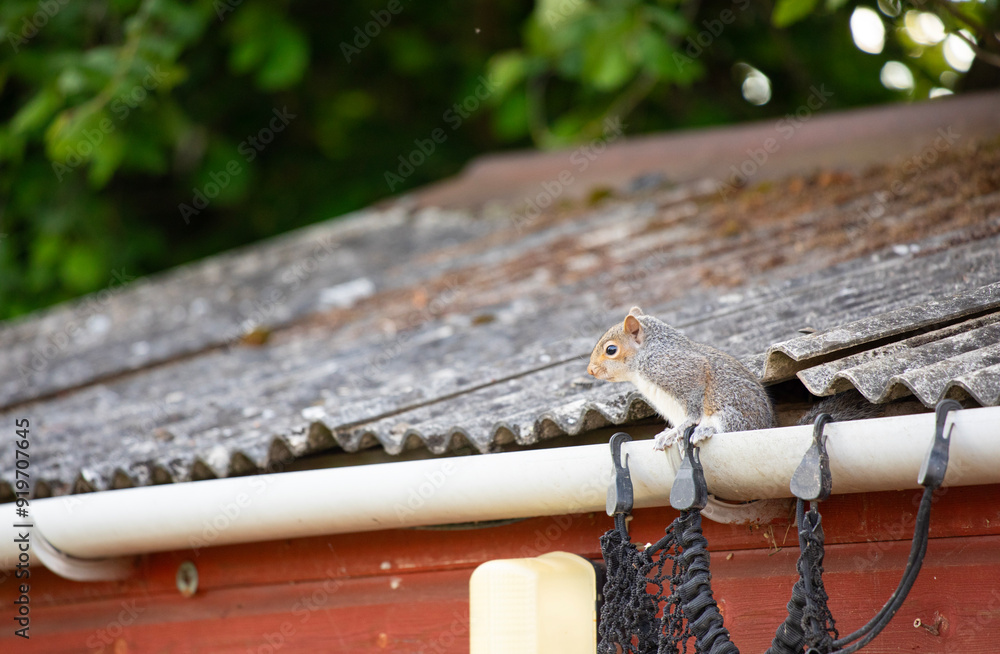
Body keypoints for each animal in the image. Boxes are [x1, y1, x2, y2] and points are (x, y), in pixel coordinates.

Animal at [587, 306, 775, 450]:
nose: (590, 370)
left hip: (731, 414)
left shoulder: (679, 369)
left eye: (611, 350)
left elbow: (692, 412)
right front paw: (669, 432)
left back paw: (705, 430)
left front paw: (675, 431)